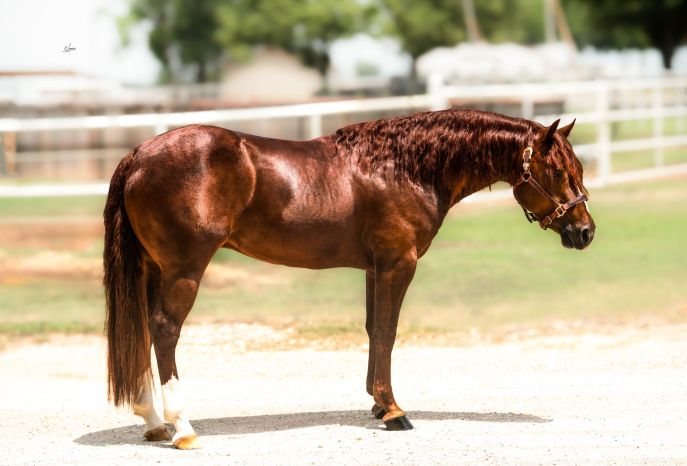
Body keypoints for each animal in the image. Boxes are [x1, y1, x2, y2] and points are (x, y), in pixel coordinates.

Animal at [103, 108, 595, 449]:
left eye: (579, 171)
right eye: (557, 171)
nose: (585, 232)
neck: (403, 168)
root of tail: (138, 155)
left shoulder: (376, 268)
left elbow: (373, 331)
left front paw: (377, 404)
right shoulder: (399, 263)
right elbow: (388, 331)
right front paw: (394, 411)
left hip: (154, 269)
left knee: (144, 328)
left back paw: (153, 422)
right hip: (184, 270)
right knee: (165, 330)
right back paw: (182, 427)